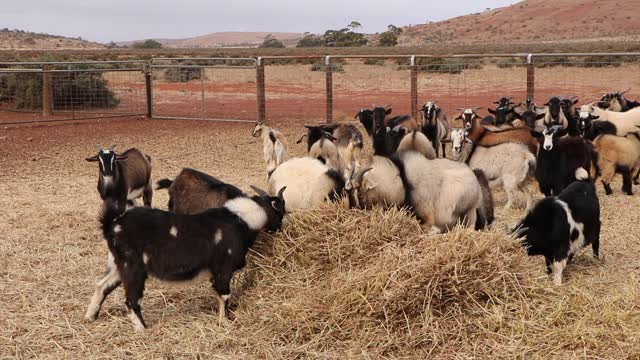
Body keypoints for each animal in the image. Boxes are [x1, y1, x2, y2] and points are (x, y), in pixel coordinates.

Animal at [85, 188, 284, 332]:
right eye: (282, 212)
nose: (280, 229)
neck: (241, 220)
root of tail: (112, 225)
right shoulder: (223, 270)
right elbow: (224, 295)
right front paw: (225, 321)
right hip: (133, 268)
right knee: (132, 300)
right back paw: (142, 328)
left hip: (118, 266)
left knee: (102, 285)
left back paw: (90, 317)